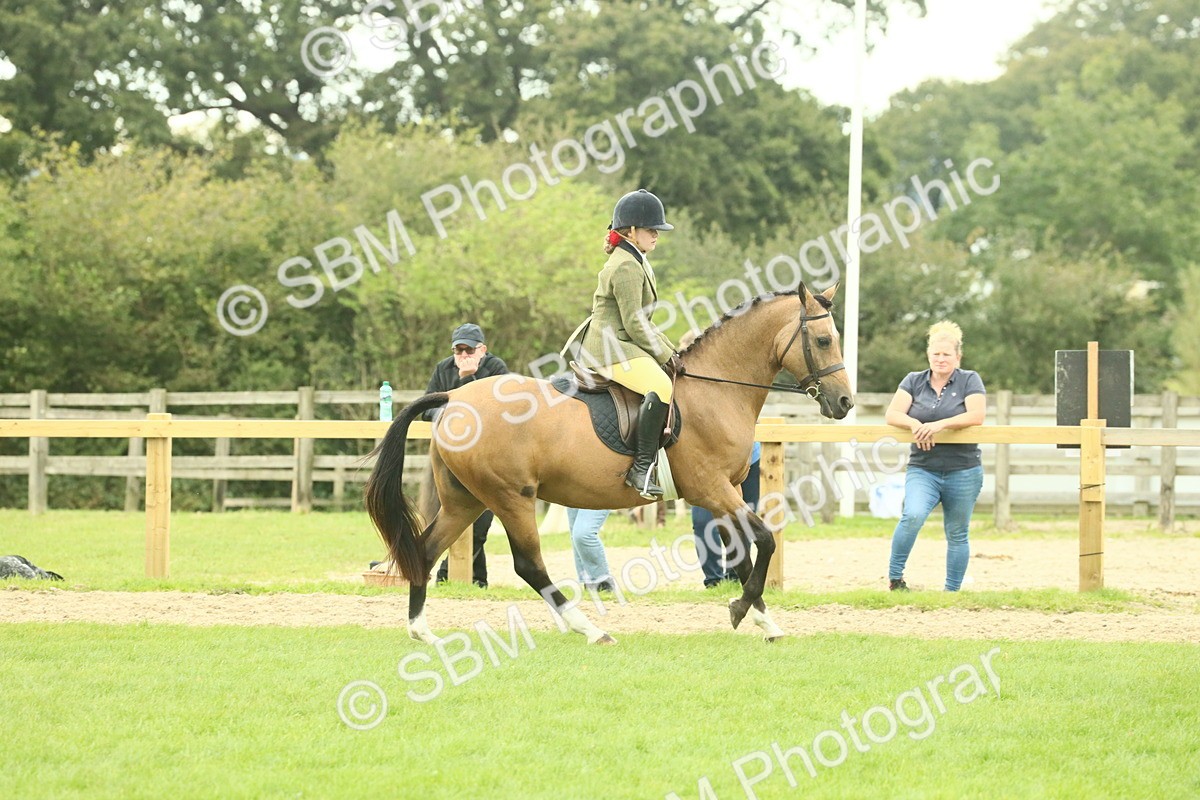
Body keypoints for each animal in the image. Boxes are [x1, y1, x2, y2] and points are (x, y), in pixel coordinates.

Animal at [365, 283, 854, 644]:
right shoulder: (711, 489)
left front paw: (764, 621)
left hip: (465, 501)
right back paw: (589, 628)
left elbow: (742, 555)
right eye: (824, 340)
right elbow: (765, 541)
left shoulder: (727, 492)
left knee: (426, 550)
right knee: (528, 565)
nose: (845, 403)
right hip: (509, 497)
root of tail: (454, 397)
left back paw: (422, 632)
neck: (717, 389)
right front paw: (741, 610)